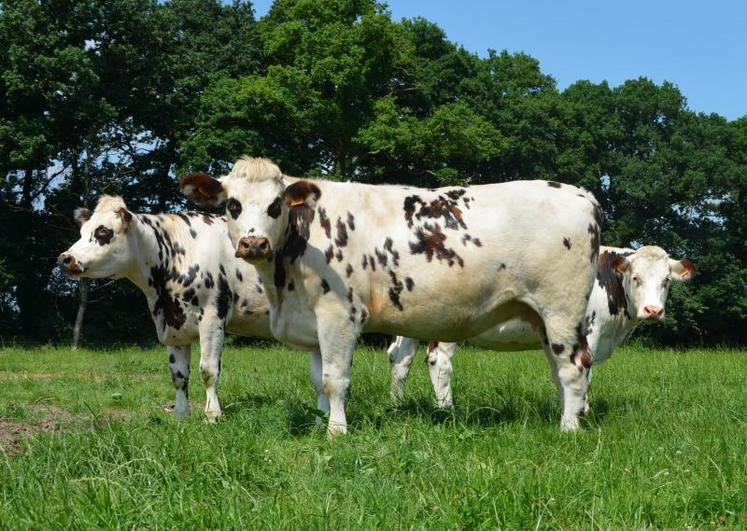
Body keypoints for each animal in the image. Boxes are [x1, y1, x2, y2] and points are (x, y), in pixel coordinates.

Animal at [58, 196, 274, 424]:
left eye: (103, 232)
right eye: (82, 232)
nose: (65, 258)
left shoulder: (213, 318)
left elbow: (208, 371)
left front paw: (212, 415)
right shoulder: (172, 326)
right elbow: (178, 376)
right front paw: (181, 416)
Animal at [184, 156, 604, 434]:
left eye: (276, 204)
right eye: (232, 204)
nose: (254, 243)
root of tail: (581, 194)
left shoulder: (339, 315)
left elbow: (336, 379)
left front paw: (336, 431)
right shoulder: (311, 322)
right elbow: (319, 381)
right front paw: (321, 422)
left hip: (561, 309)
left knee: (574, 365)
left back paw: (568, 429)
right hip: (541, 315)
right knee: (558, 368)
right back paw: (572, 416)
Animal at [388, 246, 700, 412]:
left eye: (666, 280)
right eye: (635, 278)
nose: (653, 311)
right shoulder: (589, 333)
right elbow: (585, 374)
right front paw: (583, 410)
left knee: (400, 357)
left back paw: (397, 404)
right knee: (439, 362)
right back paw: (447, 410)